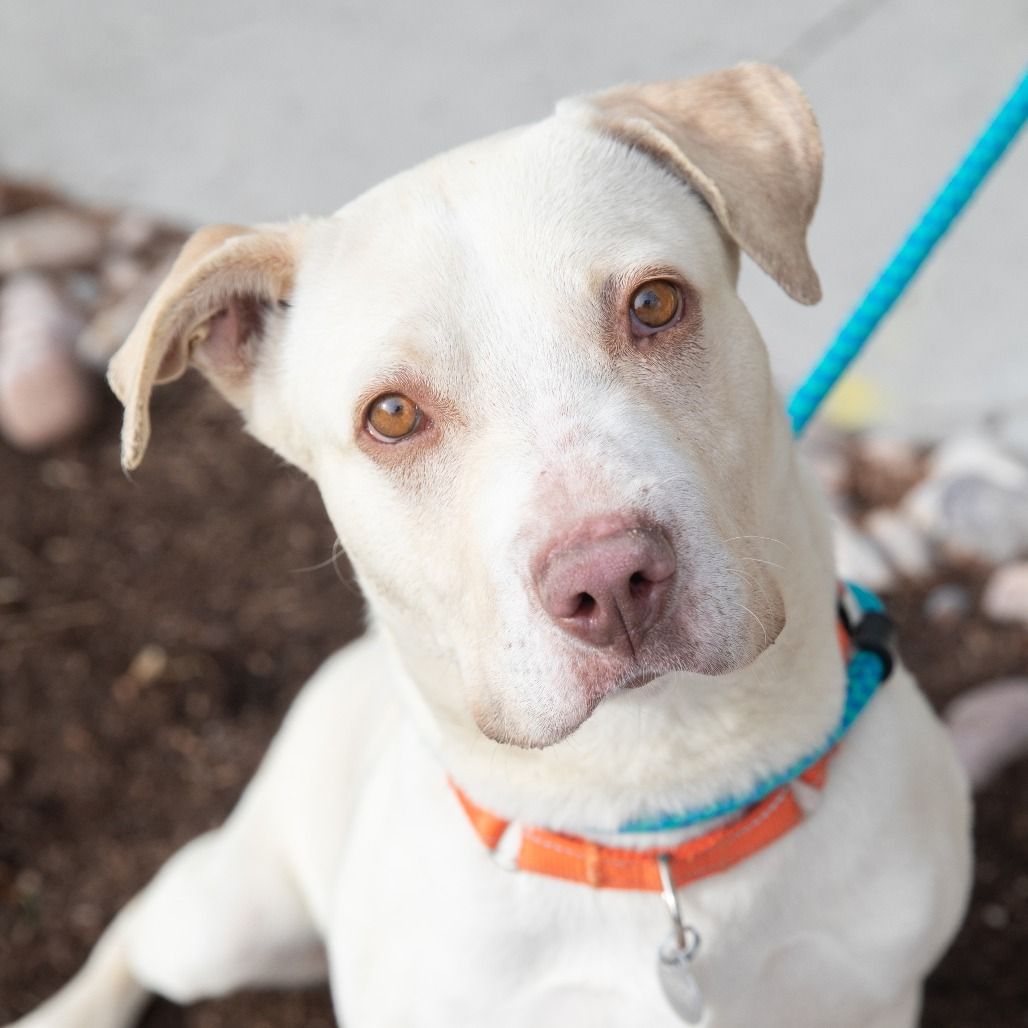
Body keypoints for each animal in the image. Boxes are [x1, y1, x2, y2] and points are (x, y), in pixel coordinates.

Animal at [11, 63, 972, 1027]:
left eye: (654, 303)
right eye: (393, 415)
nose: (610, 579)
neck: (652, 811)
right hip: (227, 921)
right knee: (144, 921)